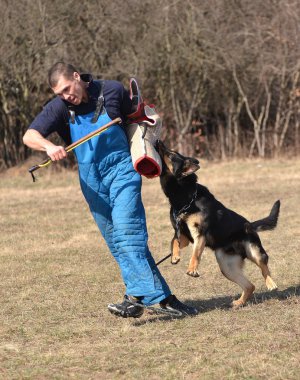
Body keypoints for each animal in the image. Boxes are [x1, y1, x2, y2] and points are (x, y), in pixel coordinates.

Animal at [157, 141, 278, 308]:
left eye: (171, 154)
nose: (158, 142)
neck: (184, 198)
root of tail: (250, 224)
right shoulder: (183, 236)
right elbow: (173, 241)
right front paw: (175, 257)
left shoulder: (199, 234)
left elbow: (195, 254)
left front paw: (192, 269)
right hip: (226, 266)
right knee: (250, 286)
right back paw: (239, 303)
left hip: (254, 251)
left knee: (264, 266)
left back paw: (271, 284)